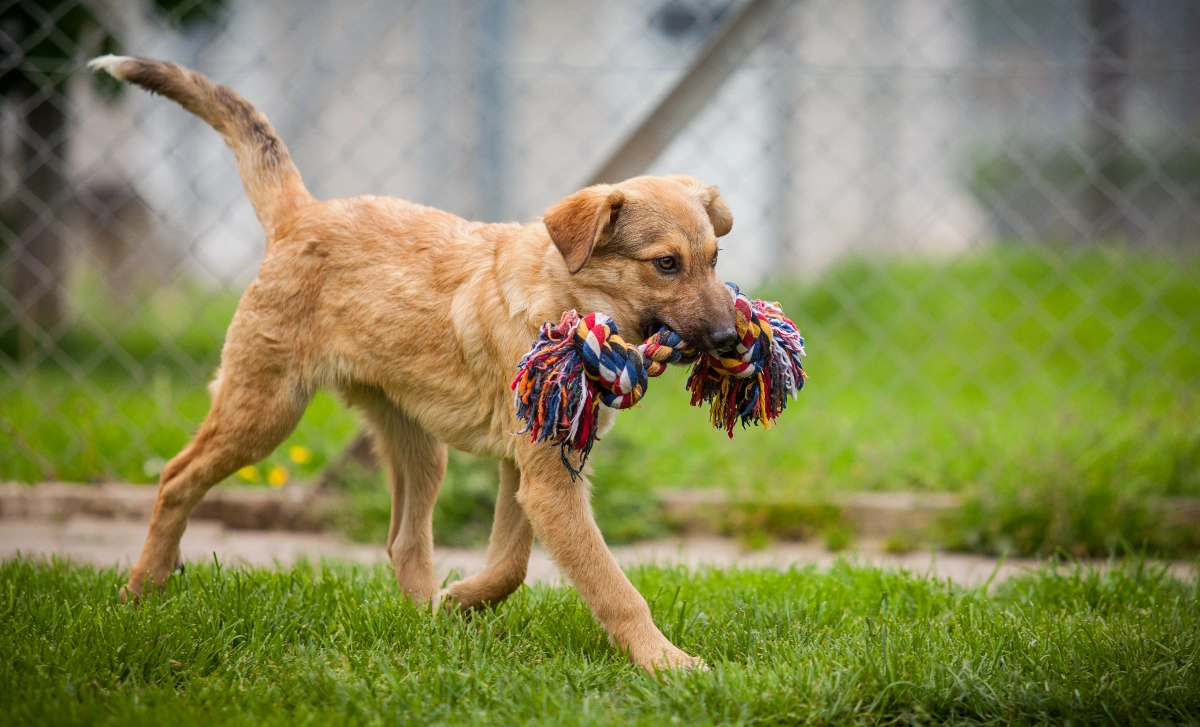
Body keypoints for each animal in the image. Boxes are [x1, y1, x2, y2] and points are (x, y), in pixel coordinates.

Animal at [88, 53, 734, 676]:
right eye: (666, 264)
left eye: (713, 258)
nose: (732, 338)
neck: (566, 300)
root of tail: (301, 214)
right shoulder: (547, 480)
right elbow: (612, 586)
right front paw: (666, 662)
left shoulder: (531, 469)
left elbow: (510, 565)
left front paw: (458, 601)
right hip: (265, 409)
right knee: (177, 477)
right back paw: (143, 589)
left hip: (417, 443)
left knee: (403, 540)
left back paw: (427, 621)